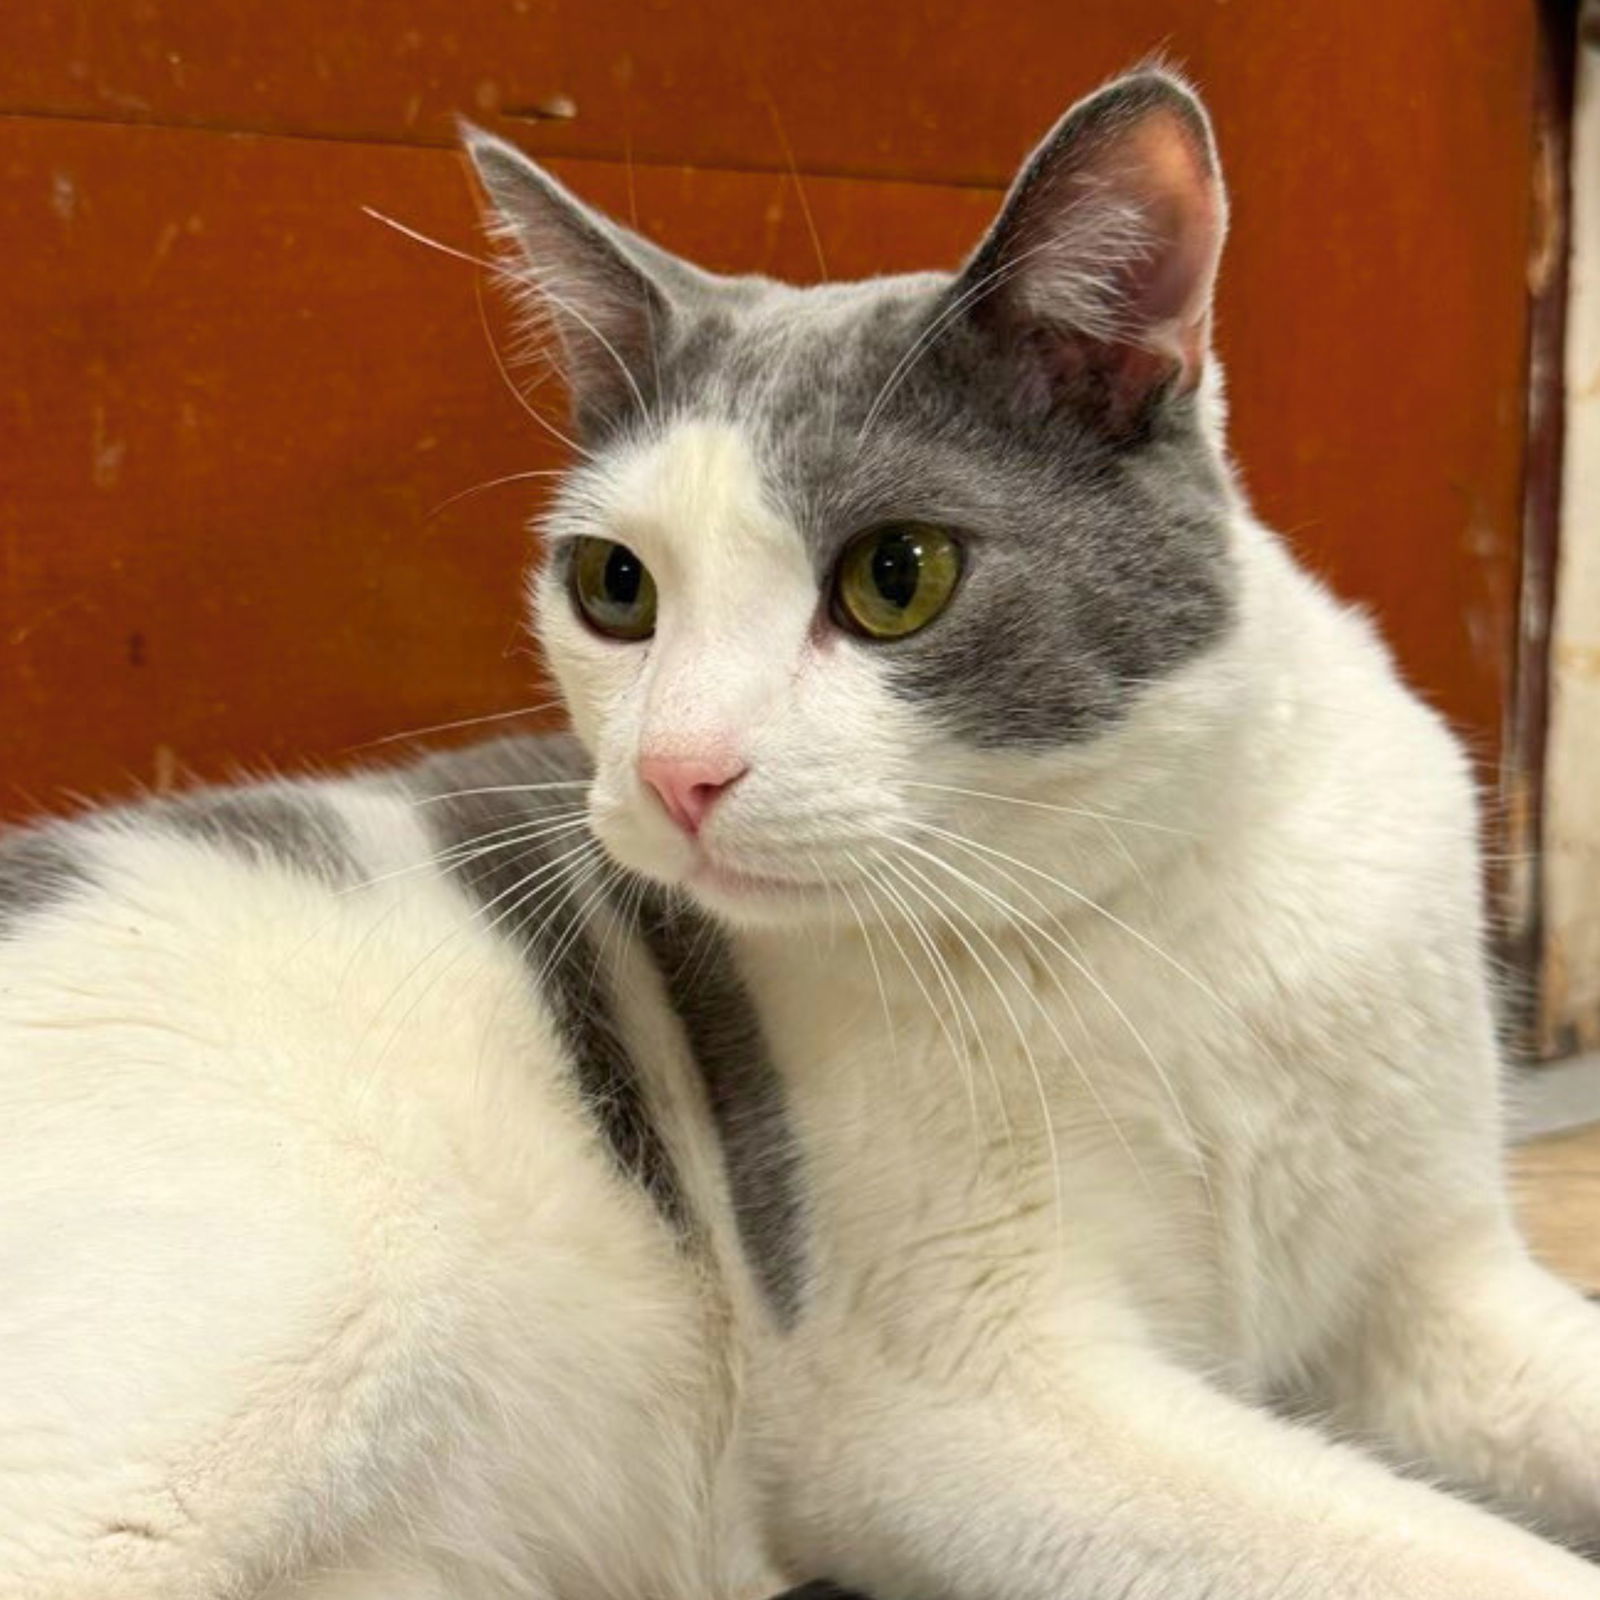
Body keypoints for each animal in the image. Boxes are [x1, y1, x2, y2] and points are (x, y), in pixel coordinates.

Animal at [3, 62, 1600, 1600]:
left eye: (899, 576)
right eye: (615, 587)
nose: (676, 771)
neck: (1152, 906)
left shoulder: (1433, 1291)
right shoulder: (946, 1402)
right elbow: (1470, 1561)